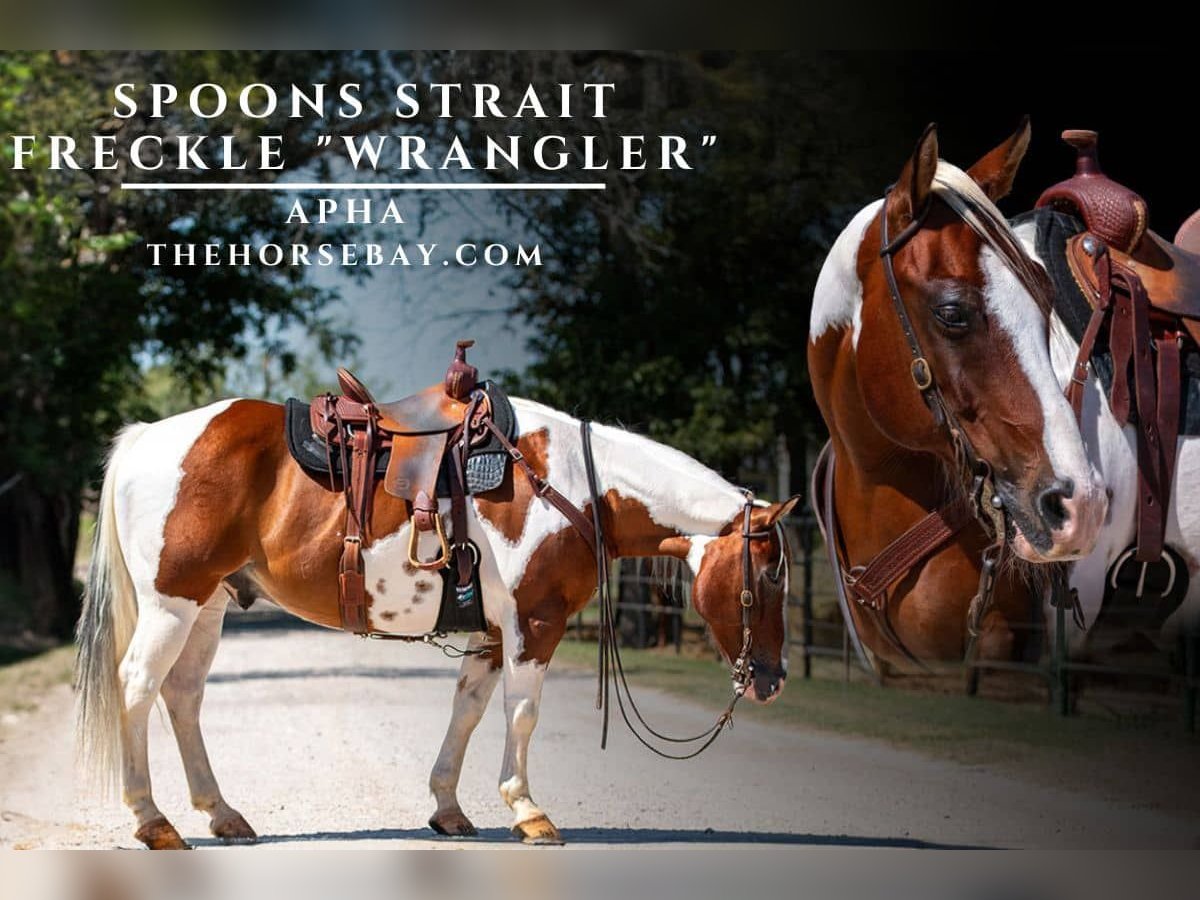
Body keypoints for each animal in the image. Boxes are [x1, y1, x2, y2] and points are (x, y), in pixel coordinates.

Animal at [74, 390, 798, 849]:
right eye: (769, 575)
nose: (771, 679)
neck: (572, 485)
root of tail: (148, 437)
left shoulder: (494, 631)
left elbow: (469, 711)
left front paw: (448, 808)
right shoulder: (535, 624)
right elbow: (521, 714)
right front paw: (528, 811)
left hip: (210, 605)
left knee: (182, 695)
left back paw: (222, 815)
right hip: (173, 602)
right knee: (138, 686)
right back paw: (153, 822)